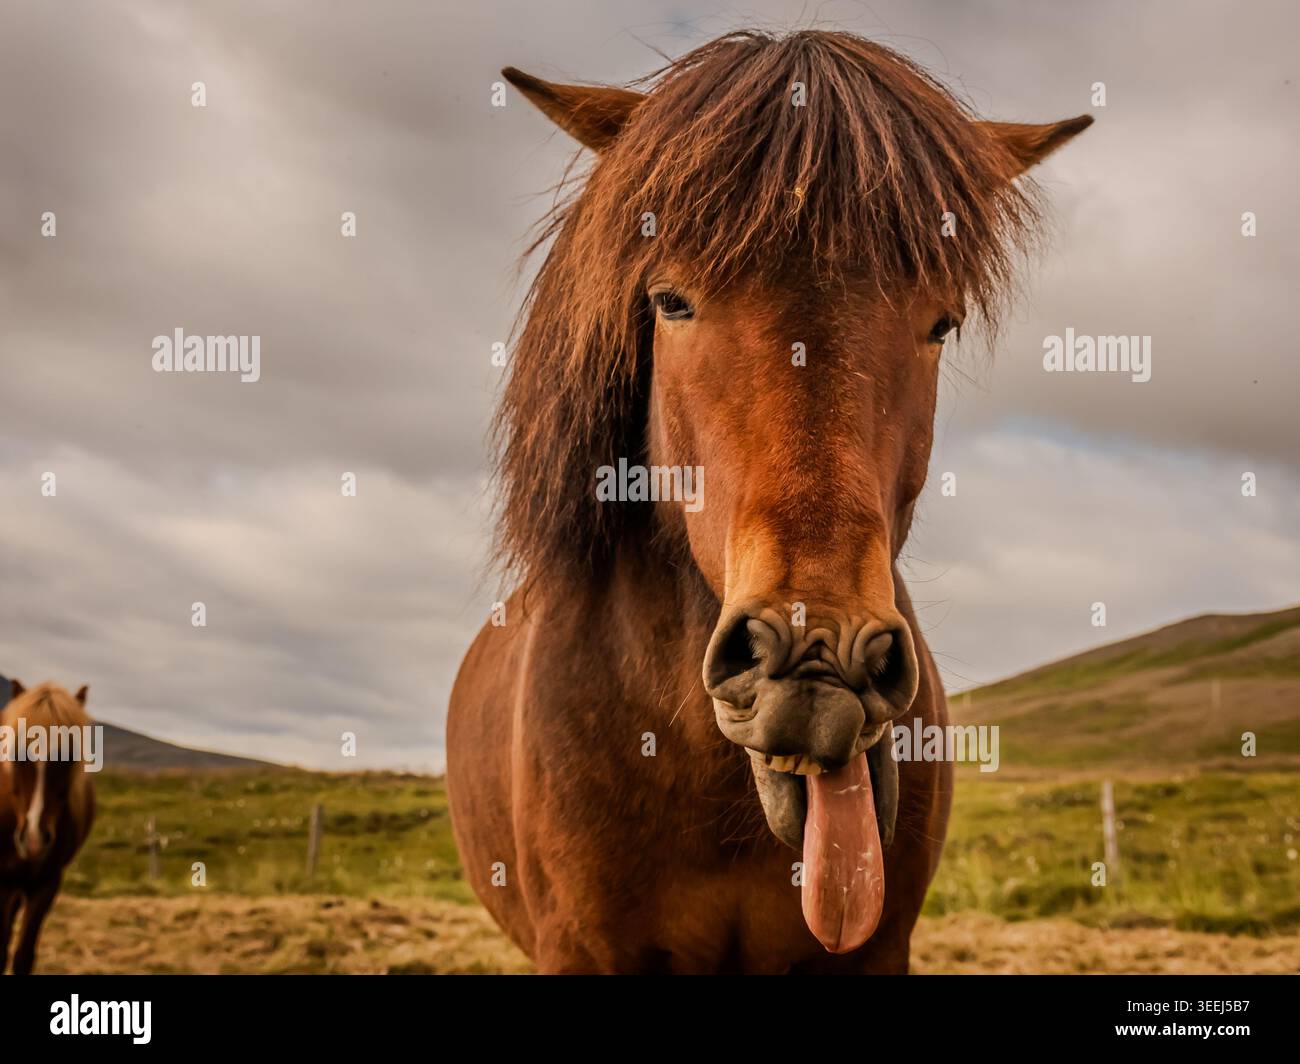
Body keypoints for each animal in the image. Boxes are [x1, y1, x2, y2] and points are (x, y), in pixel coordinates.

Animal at [0, 680, 97, 974]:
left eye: (69, 757)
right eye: (17, 754)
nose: (33, 839)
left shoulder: (46, 883)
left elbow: (23, 956)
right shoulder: (3, 881)